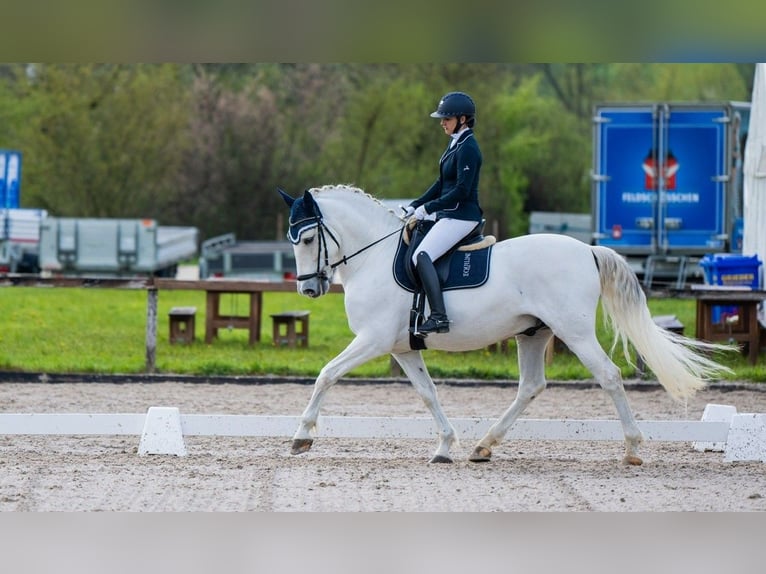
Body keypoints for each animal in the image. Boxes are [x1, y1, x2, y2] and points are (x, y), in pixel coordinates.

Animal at [280, 187, 736, 466]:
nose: (308, 289)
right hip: (533, 334)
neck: (373, 257)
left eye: (307, 239)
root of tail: (587, 250)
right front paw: (445, 445)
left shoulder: (372, 340)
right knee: (531, 386)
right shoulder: (402, 348)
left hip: (574, 332)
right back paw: (484, 446)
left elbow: (326, 374)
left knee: (608, 376)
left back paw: (632, 448)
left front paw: (301, 436)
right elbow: (428, 394)